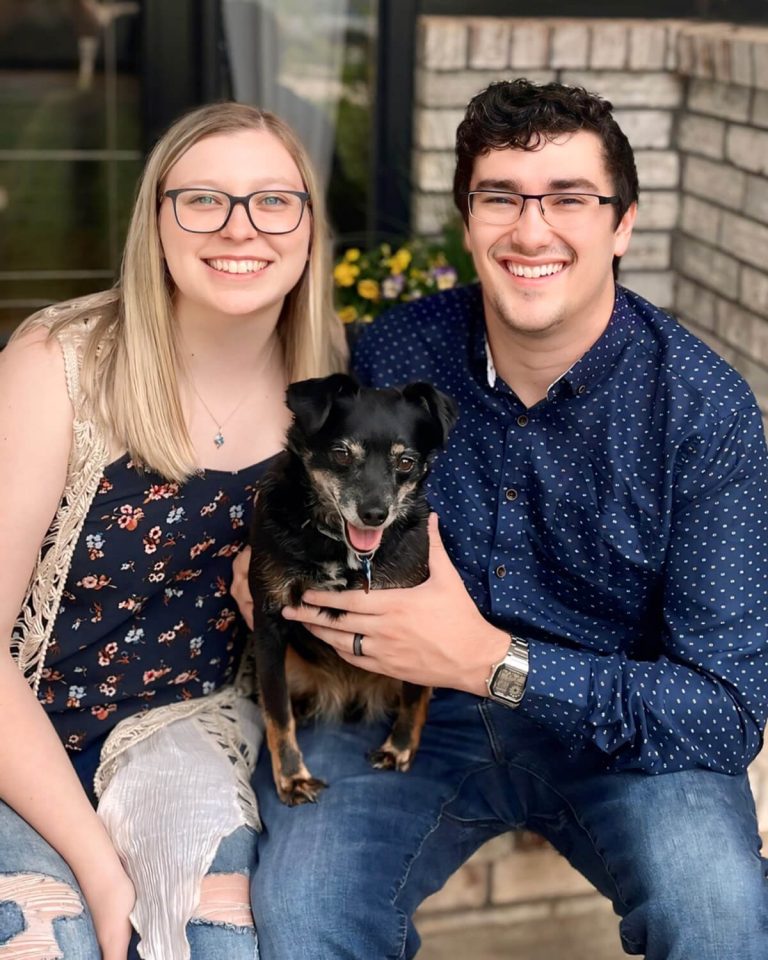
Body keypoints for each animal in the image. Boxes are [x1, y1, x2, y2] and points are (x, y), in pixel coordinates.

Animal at [249, 372, 460, 808]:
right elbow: (278, 713)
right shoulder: (268, 625)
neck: (338, 547)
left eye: (405, 462)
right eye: (342, 454)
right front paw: (292, 778)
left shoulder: (419, 632)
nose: (375, 514)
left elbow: (415, 696)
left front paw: (399, 748)